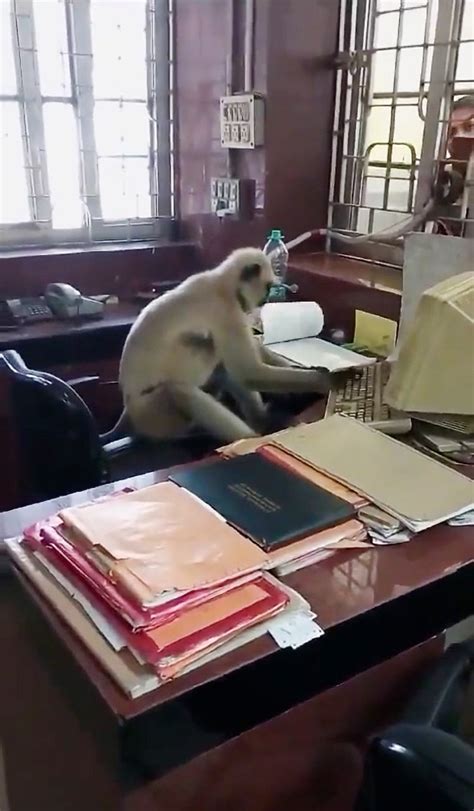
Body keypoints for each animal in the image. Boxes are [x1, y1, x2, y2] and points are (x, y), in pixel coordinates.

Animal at [118, 247, 330, 444]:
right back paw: (252, 437)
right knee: (180, 390)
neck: (223, 284)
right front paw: (328, 380)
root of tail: (130, 414)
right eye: (268, 287)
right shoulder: (227, 311)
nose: (265, 299)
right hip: (155, 415)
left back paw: (262, 419)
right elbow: (249, 372)